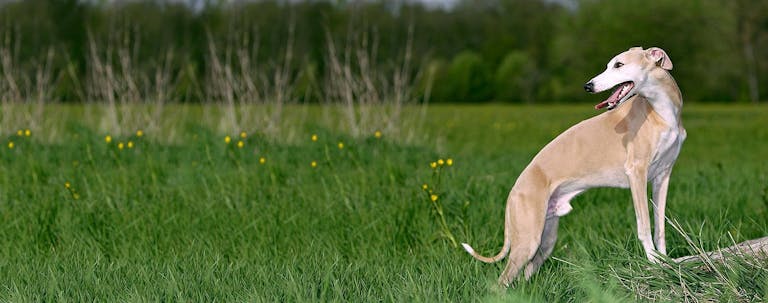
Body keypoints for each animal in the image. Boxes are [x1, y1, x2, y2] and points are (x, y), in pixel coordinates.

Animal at [462, 47, 684, 288]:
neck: (660, 110)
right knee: (501, 281)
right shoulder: (637, 173)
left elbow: (659, 227)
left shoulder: (663, 176)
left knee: (526, 272)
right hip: (528, 238)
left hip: (545, 239)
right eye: (610, 65)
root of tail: (513, 192)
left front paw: (666, 264)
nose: (588, 86)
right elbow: (644, 227)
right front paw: (654, 264)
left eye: (619, 65)